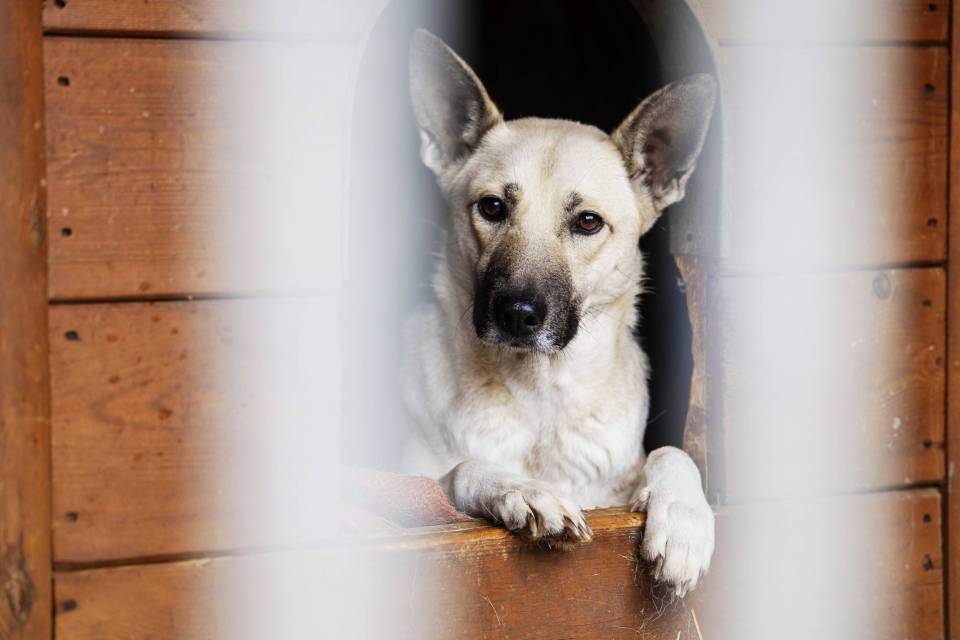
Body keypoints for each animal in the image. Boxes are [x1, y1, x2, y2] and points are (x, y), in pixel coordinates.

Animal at [400, 30, 716, 596]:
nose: (517, 314)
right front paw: (520, 490)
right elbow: (458, 472)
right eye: (493, 207)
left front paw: (683, 519)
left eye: (588, 221)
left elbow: (672, 453)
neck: (540, 397)